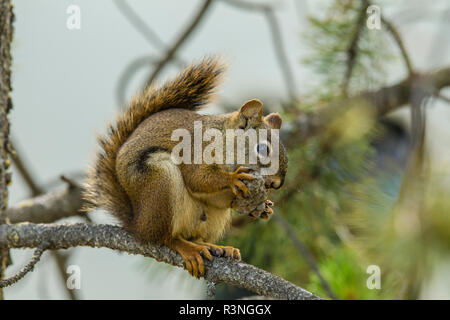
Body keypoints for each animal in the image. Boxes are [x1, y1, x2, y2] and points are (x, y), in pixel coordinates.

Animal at [83, 57, 288, 278]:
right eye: (263, 149)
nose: (276, 184)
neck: (224, 139)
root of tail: (137, 224)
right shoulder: (196, 149)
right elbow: (197, 177)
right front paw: (233, 178)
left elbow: (218, 197)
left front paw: (262, 208)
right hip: (161, 184)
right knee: (163, 238)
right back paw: (188, 248)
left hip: (210, 217)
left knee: (194, 235)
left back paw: (215, 247)